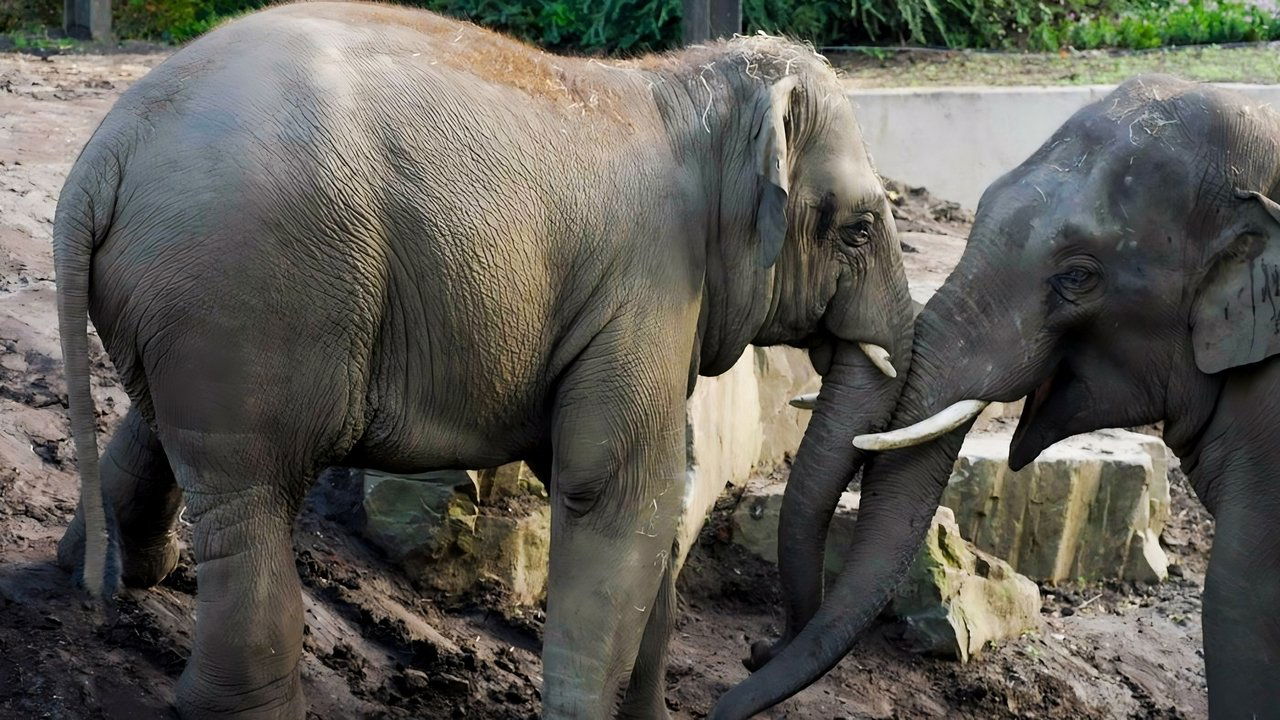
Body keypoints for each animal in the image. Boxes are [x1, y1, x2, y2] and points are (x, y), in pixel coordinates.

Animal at [49, 2, 916, 712]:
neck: (685, 86)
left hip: (194, 300)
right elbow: (615, 492)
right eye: (860, 228)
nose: (756, 649)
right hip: (256, 288)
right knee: (254, 490)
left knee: (163, 430)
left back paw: (102, 574)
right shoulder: (648, 290)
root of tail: (108, 148)